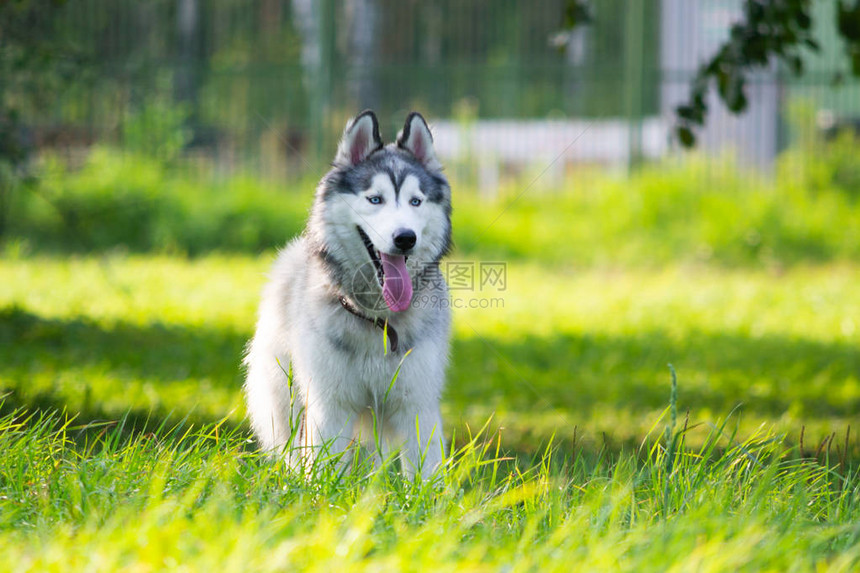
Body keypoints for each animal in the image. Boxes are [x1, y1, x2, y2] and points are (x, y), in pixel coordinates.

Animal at [244, 109, 450, 476]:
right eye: (375, 199)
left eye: (416, 201)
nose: (405, 238)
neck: (378, 317)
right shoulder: (330, 404)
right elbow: (321, 467)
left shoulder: (417, 405)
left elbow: (426, 474)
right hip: (286, 403)